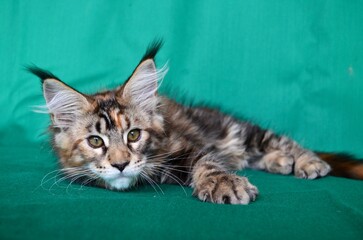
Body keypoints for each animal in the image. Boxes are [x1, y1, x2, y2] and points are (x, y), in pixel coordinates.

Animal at [27, 40, 363, 204]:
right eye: (96, 141)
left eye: (134, 135)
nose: (121, 164)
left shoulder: (189, 147)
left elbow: (210, 164)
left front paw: (225, 184)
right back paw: (280, 162)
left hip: (235, 131)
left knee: (279, 141)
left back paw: (306, 161)